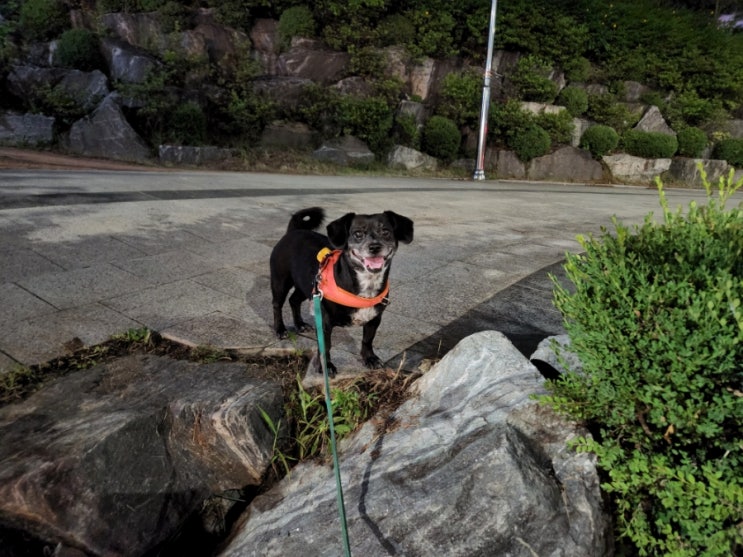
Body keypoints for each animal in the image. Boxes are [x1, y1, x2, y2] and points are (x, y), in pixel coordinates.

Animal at [272, 207, 416, 374]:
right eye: (358, 234)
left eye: (385, 232)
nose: (374, 247)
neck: (367, 283)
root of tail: (294, 231)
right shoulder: (325, 322)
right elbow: (326, 346)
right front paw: (326, 366)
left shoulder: (374, 319)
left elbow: (368, 339)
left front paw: (370, 358)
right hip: (281, 282)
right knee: (277, 305)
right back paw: (280, 329)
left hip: (307, 285)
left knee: (294, 300)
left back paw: (300, 324)